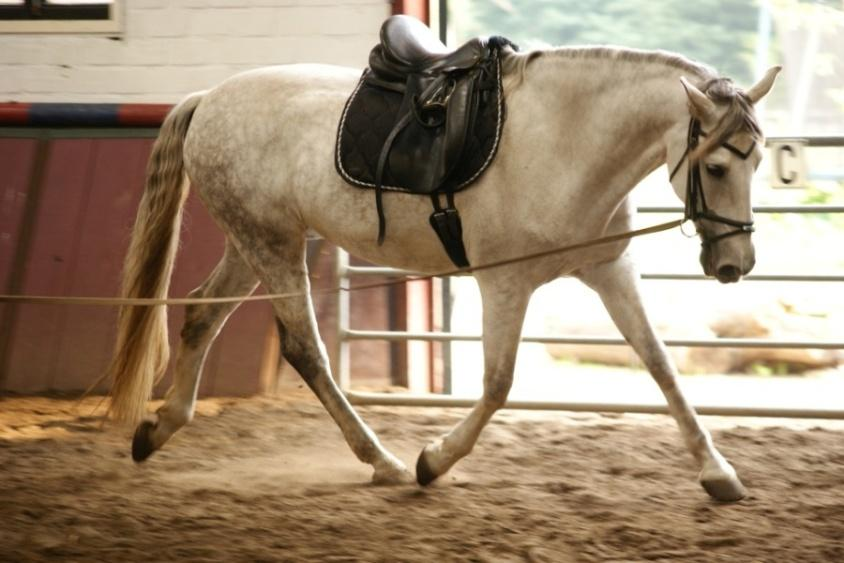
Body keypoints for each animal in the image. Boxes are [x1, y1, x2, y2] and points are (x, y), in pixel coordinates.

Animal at [105, 35, 780, 502]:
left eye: (759, 160)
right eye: (716, 165)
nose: (734, 263)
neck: (564, 142)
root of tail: (209, 100)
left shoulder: (609, 270)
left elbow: (661, 365)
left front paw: (719, 473)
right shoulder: (505, 283)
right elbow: (499, 383)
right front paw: (434, 461)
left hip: (254, 243)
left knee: (200, 315)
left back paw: (158, 430)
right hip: (271, 245)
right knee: (306, 351)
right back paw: (383, 461)